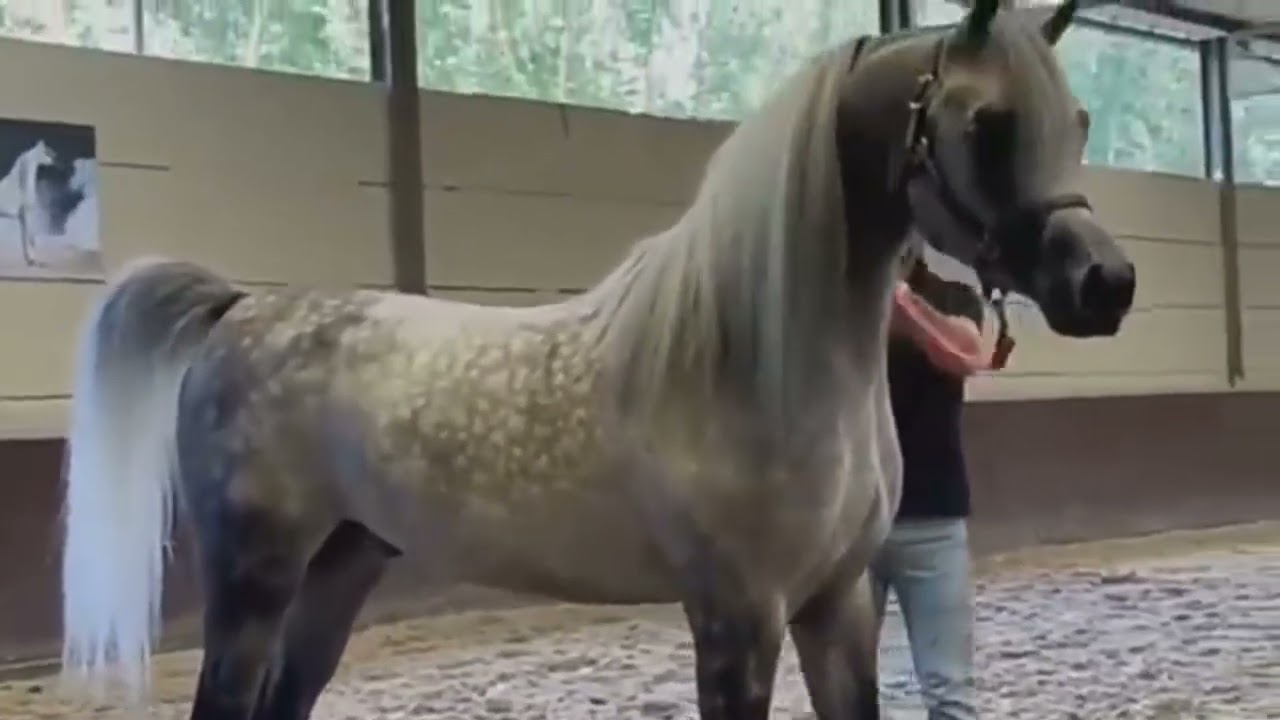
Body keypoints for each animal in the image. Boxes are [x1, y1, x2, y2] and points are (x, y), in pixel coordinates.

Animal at [59, 1, 1134, 718]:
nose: (1105, 283)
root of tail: (242, 307)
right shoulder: (736, 617)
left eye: (1079, 121)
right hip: (256, 578)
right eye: (984, 124)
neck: (758, 362)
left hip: (341, 567)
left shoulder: (837, 607)